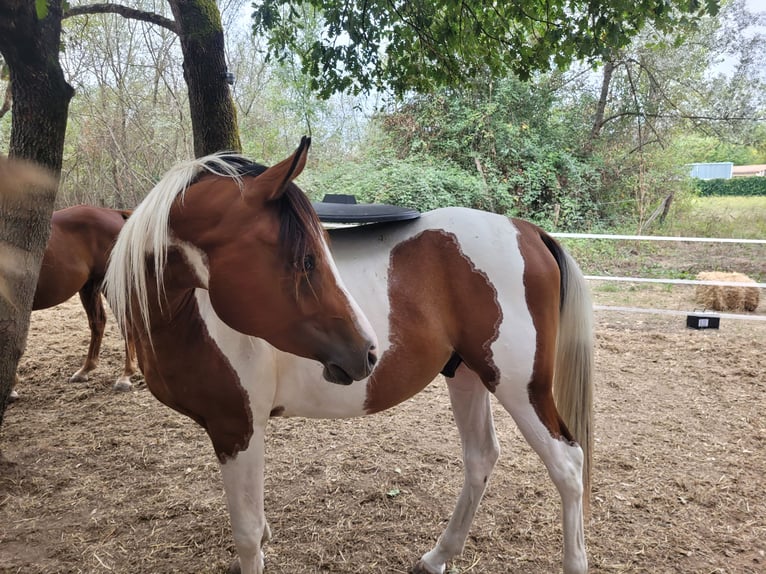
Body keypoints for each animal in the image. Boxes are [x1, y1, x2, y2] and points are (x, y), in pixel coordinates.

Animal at [18, 206, 138, 395]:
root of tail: (115, 214)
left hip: (111, 285)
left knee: (126, 323)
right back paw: (85, 370)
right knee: (98, 322)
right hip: (89, 286)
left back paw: (125, 376)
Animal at [105, 141, 593, 574]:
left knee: (568, 466)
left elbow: (245, 533)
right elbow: (256, 526)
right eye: (306, 259)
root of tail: (526, 230)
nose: (368, 351)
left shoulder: (236, 427)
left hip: (519, 387)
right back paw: (437, 557)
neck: (190, 313)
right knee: (481, 458)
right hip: (468, 375)